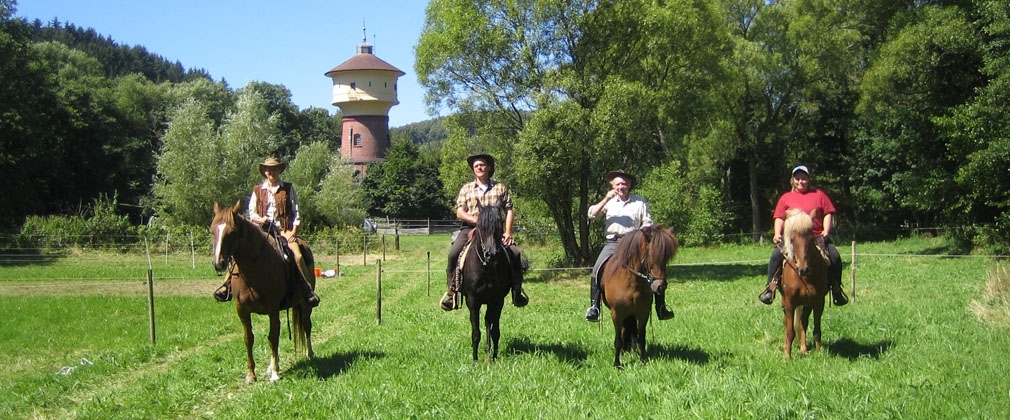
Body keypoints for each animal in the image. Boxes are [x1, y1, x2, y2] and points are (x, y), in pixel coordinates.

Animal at [208, 201, 311, 381]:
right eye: (212, 230)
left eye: (232, 232)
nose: (218, 263)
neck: (253, 270)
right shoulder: (241, 309)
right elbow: (249, 338)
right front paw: (251, 374)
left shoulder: (273, 309)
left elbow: (273, 337)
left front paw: (275, 374)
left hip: (305, 304)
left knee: (307, 325)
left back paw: (309, 354)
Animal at [462, 203, 517, 361]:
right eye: (481, 227)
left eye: (499, 226)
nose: (491, 254)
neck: (487, 269)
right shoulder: (472, 301)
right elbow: (475, 333)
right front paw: (475, 360)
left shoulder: (497, 300)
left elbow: (495, 331)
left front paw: (494, 357)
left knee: (488, 321)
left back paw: (488, 351)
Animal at [597, 226, 678, 367]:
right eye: (651, 255)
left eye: (666, 259)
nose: (660, 287)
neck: (632, 282)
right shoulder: (616, 313)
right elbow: (618, 339)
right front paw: (617, 363)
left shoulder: (643, 312)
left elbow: (641, 337)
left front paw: (642, 360)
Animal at [779, 210, 828, 357]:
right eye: (792, 239)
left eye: (811, 239)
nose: (803, 269)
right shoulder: (789, 304)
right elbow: (790, 331)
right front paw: (787, 356)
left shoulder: (818, 303)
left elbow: (817, 329)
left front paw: (819, 352)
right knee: (787, 323)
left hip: (807, 304)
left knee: (803, 322)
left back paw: (803, 348)